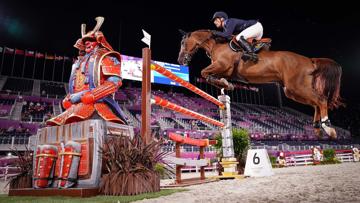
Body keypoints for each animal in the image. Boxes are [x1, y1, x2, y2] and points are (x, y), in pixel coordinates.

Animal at [177, 29, 344, 139]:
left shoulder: (222, 65)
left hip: (297, 87)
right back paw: (317, 128)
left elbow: (204, 73)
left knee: (321, 100)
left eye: (183, 42)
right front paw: (225, 84)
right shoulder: (224, 71)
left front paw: (226, 84)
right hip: (293, 91)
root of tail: (310, 60)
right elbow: (209, 76)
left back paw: (328, 128)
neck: (216, 45)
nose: (180, 60)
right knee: (316, 103)